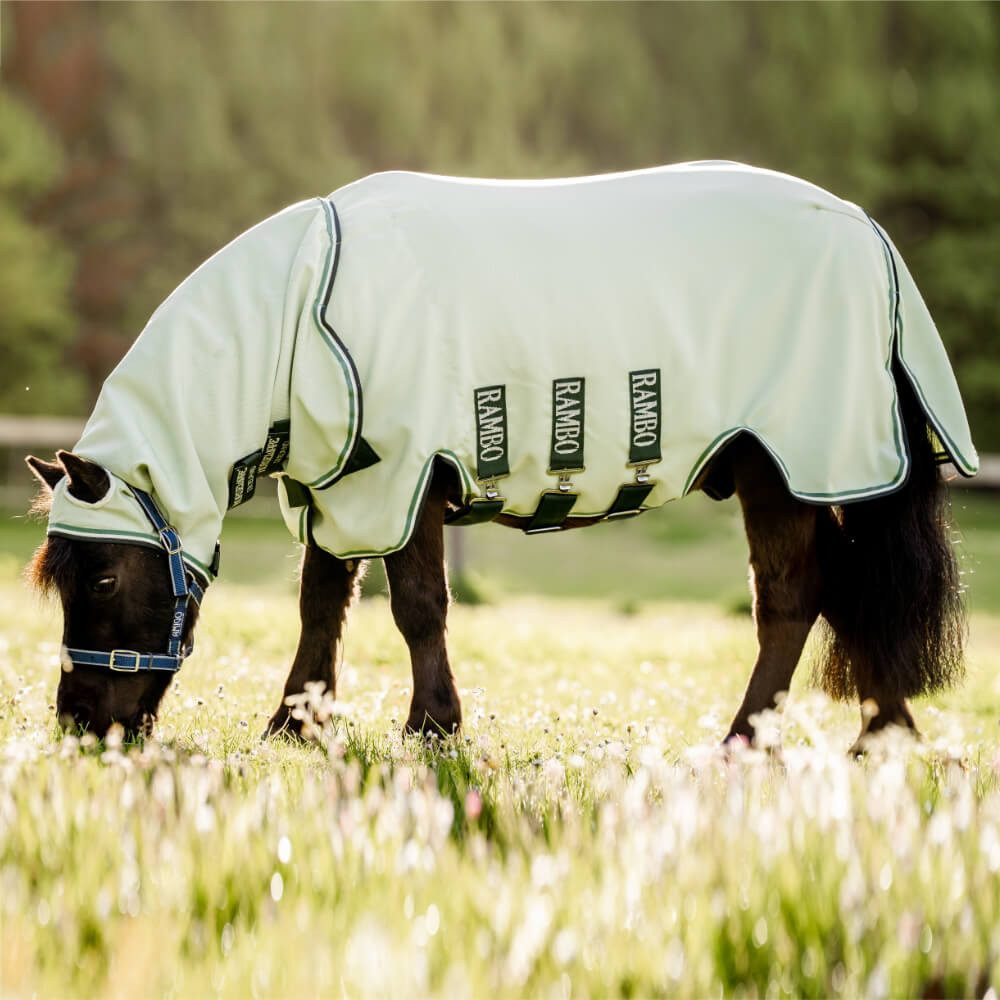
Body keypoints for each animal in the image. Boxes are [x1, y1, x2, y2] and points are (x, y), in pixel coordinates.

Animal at [26, 162, 977, 748]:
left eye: (102, 578)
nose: (79, 722)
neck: (305, 312)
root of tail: (870, 236)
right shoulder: (339, 495)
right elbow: (321, 608)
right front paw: (294, 728)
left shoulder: (405, 483)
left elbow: (417, 609)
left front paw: (430, 728)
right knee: (854, 593)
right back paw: (881, 735)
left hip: (785, 465)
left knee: (796, 599)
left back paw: (751, 742)